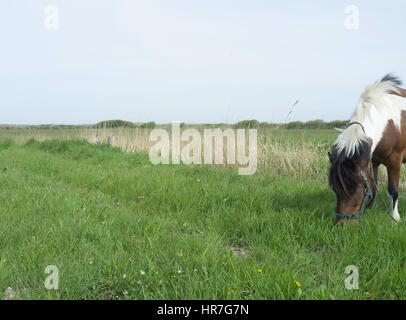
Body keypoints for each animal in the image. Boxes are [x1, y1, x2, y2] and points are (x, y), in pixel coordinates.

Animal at [328, 74, 406, 225]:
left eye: (357, 189)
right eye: (334, 189)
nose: (341, 225)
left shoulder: (395, 160)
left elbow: (393, 190)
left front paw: (395, 217)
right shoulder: (372, 161)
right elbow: (374, 184)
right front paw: (371, 208)